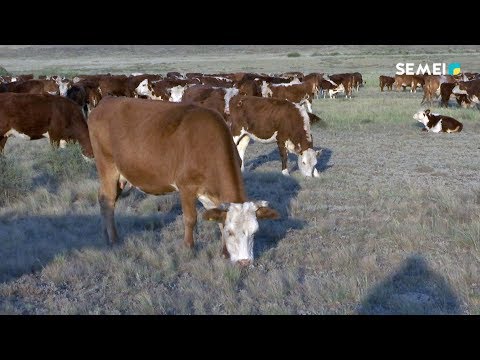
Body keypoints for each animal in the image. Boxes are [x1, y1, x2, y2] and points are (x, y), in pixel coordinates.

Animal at [88, 97, 280, 266]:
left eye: (254, 232)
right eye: (231, 232)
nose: (245, 262)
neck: (208, 145)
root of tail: (105, 102)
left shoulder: (210, 193)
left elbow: (218, 219)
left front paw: (224, 253)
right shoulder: (186, 186)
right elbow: (190, 218)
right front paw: (189, 248)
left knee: (104, 198)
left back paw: (106, 235)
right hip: (107, 166)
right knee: (107, 200)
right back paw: (114, 239)